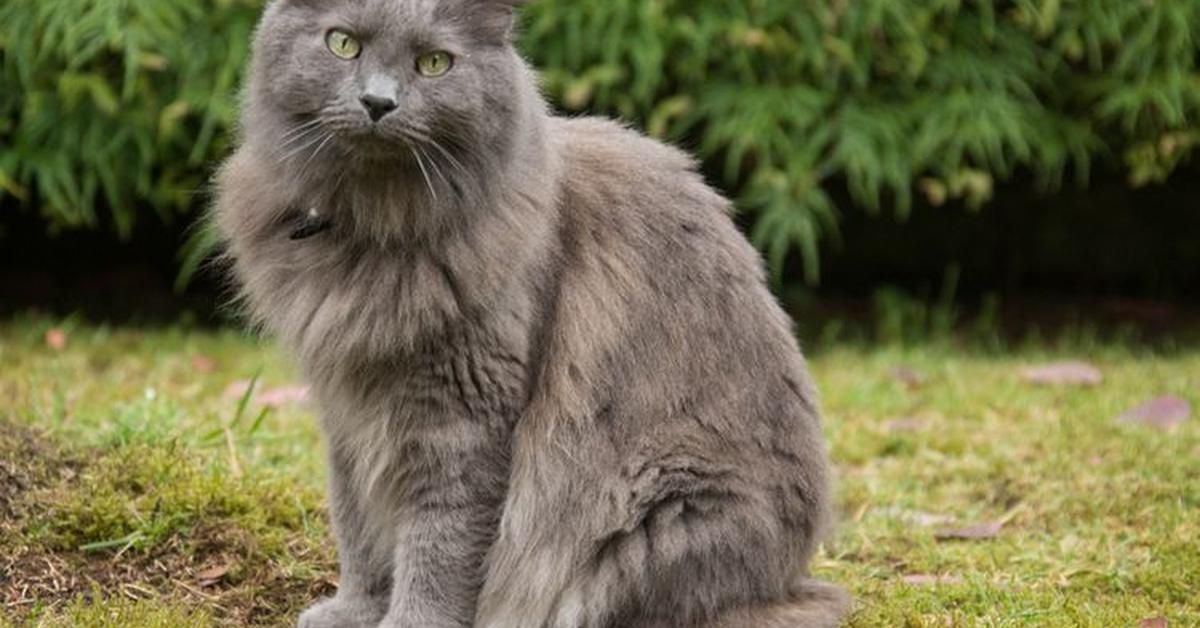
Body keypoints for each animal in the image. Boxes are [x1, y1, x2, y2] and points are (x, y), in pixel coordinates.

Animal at [213, 1, 844, 628]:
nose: (377, 102)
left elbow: (437, 541)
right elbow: (358, 523)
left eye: (434, 62)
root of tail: (786, 582)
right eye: (343, 44)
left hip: (655, 512)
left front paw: (409, 620)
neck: (374, 230)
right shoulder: (345, 405)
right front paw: (355, 610)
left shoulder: (463, 414)